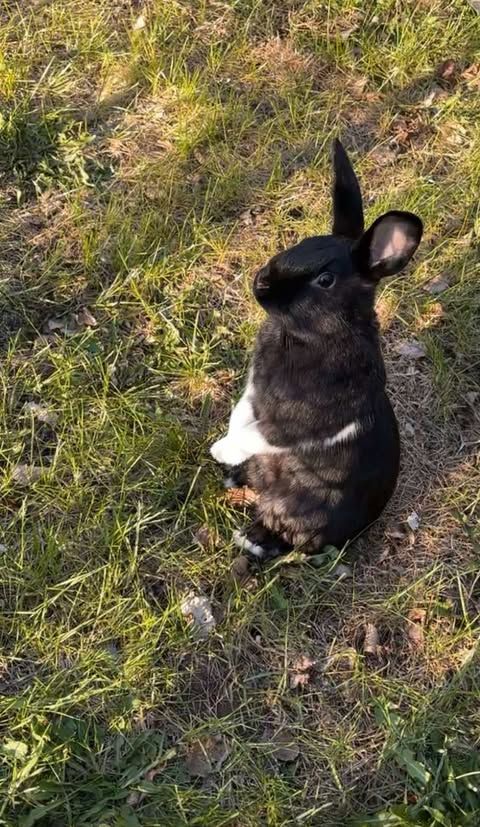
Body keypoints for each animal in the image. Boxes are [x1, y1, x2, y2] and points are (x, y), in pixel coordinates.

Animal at [210, 139, 423, 560]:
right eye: (302, 243)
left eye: (325, 280)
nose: (260, 283)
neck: (310, 336)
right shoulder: (253, 392)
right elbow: (241, 416)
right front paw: (225, 447)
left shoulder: (298, 423)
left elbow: (257, 433)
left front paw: (220, 450)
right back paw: (235, 478)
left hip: (301, 511)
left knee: (286, 537)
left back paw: (251, 537)